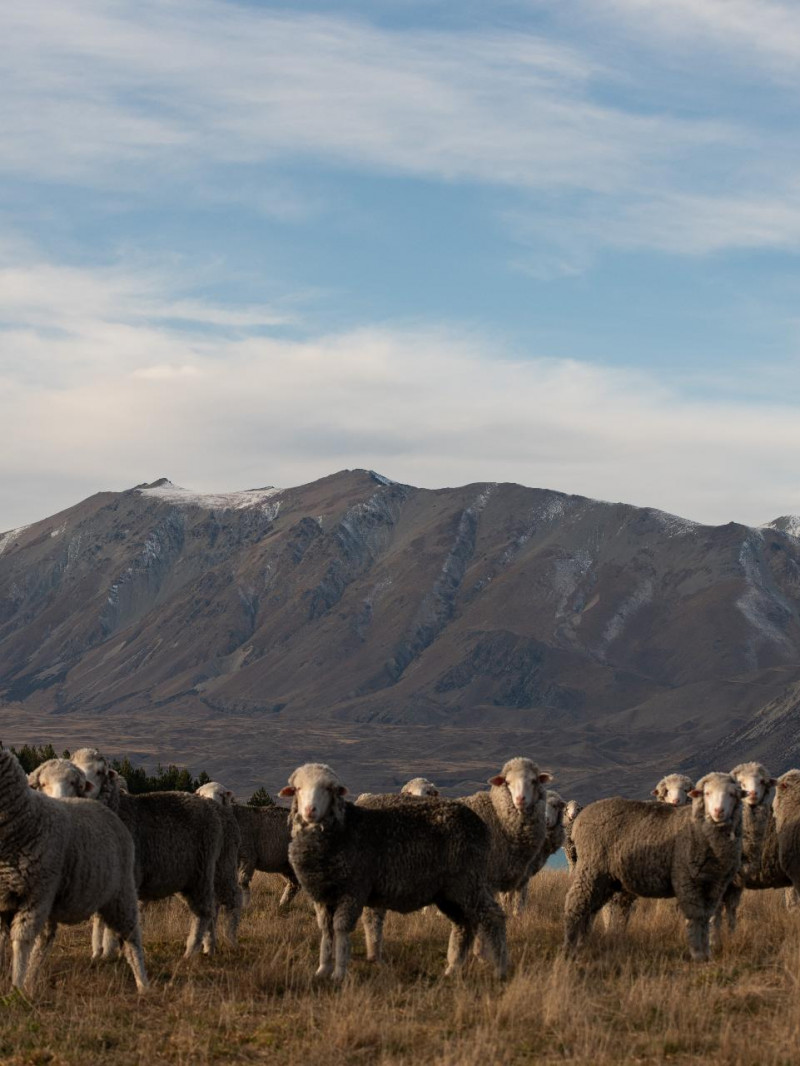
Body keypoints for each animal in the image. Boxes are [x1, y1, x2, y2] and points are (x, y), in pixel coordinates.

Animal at [0, 746, 147, 993]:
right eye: (42, 783)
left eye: (73, 782)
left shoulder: (36, 895)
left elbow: (21, 942)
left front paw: (16, 988)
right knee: (46, 939)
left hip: (121, 891)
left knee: (131, 936)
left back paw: (143, 983)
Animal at [71, 750, 241, 959]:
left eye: (100, 771)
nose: (87, 788)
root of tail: (213, 806)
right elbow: (99, 919)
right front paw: (98, 952)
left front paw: (109, 953)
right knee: (211, 907)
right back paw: (208, 946)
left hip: (213, 867)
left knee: (216, 906)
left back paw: (203, 947)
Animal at [281, 758, 507, 980]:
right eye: (297, 788)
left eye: (329, 789)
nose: (310, 810)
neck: (343, 829)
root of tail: (479, 823)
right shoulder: (321, 895)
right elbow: (326, 931)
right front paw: (322, 969)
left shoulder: (353, 889)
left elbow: (341, 929)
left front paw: (339, 973)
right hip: (450, 892)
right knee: (464, 924)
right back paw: (453, 969)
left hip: (468, 881)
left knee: (493, 917)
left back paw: (500, 969)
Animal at [563, 771, 746, 963]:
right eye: (707, 793)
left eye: (733, 794)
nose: (719, 811)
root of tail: (581, 818)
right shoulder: (686, 880)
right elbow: (693, 915)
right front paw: (697, 953)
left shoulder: (715, 885)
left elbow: (705, 916)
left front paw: (705, 953)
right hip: (591, 868)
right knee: (577, 904)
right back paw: (570, 947)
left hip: (606, 879)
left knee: (593, 908)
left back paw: (584, 944)